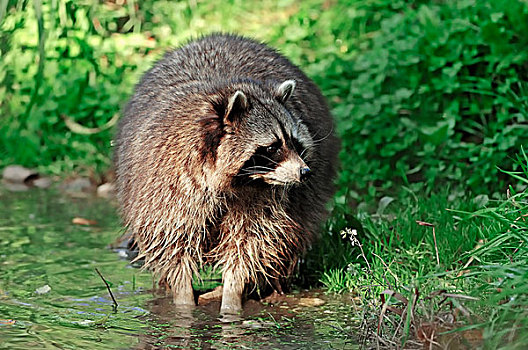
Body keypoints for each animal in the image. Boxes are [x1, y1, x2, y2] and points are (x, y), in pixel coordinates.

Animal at [113, 34, 340, 314]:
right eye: (272, 147)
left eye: (295, 143)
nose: (305, 172)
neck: (237, 180)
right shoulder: (167, 183)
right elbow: (173, 242)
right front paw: (183, 301)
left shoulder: (263, 197)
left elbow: (253, 241)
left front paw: (232, 296)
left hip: (309, 195)